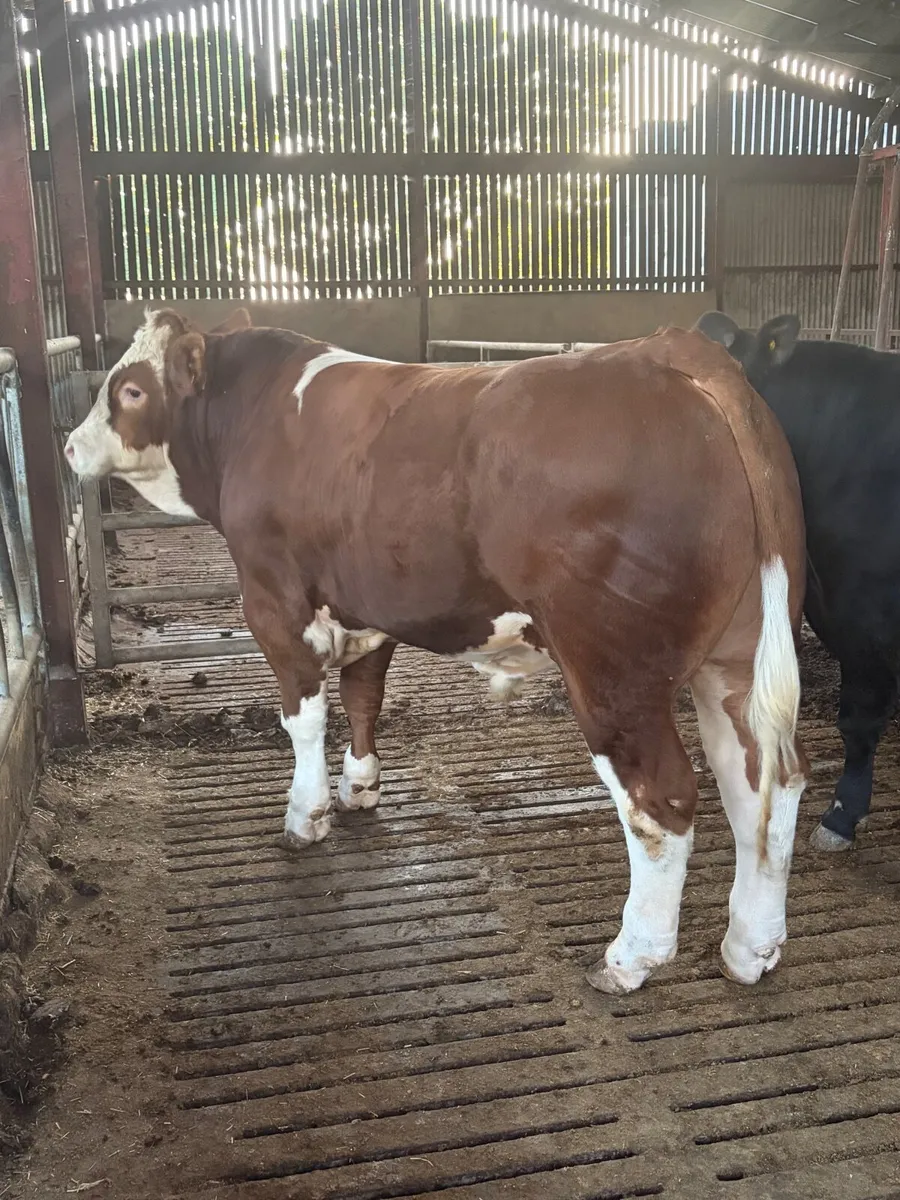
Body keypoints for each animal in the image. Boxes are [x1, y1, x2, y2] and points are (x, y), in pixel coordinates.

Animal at [65, 308, 807, 994]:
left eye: (130, 389)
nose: (71, 446)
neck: (254, 415)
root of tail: (675, 351)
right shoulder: (365, 603)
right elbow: (364, 694)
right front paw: (360, 786)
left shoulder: (272, 601)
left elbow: (302, 716)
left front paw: (306, 814)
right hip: (736, 662)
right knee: (763, 784)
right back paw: (751, 946)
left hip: (614, 673)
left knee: (664, 802)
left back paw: (631, 956)